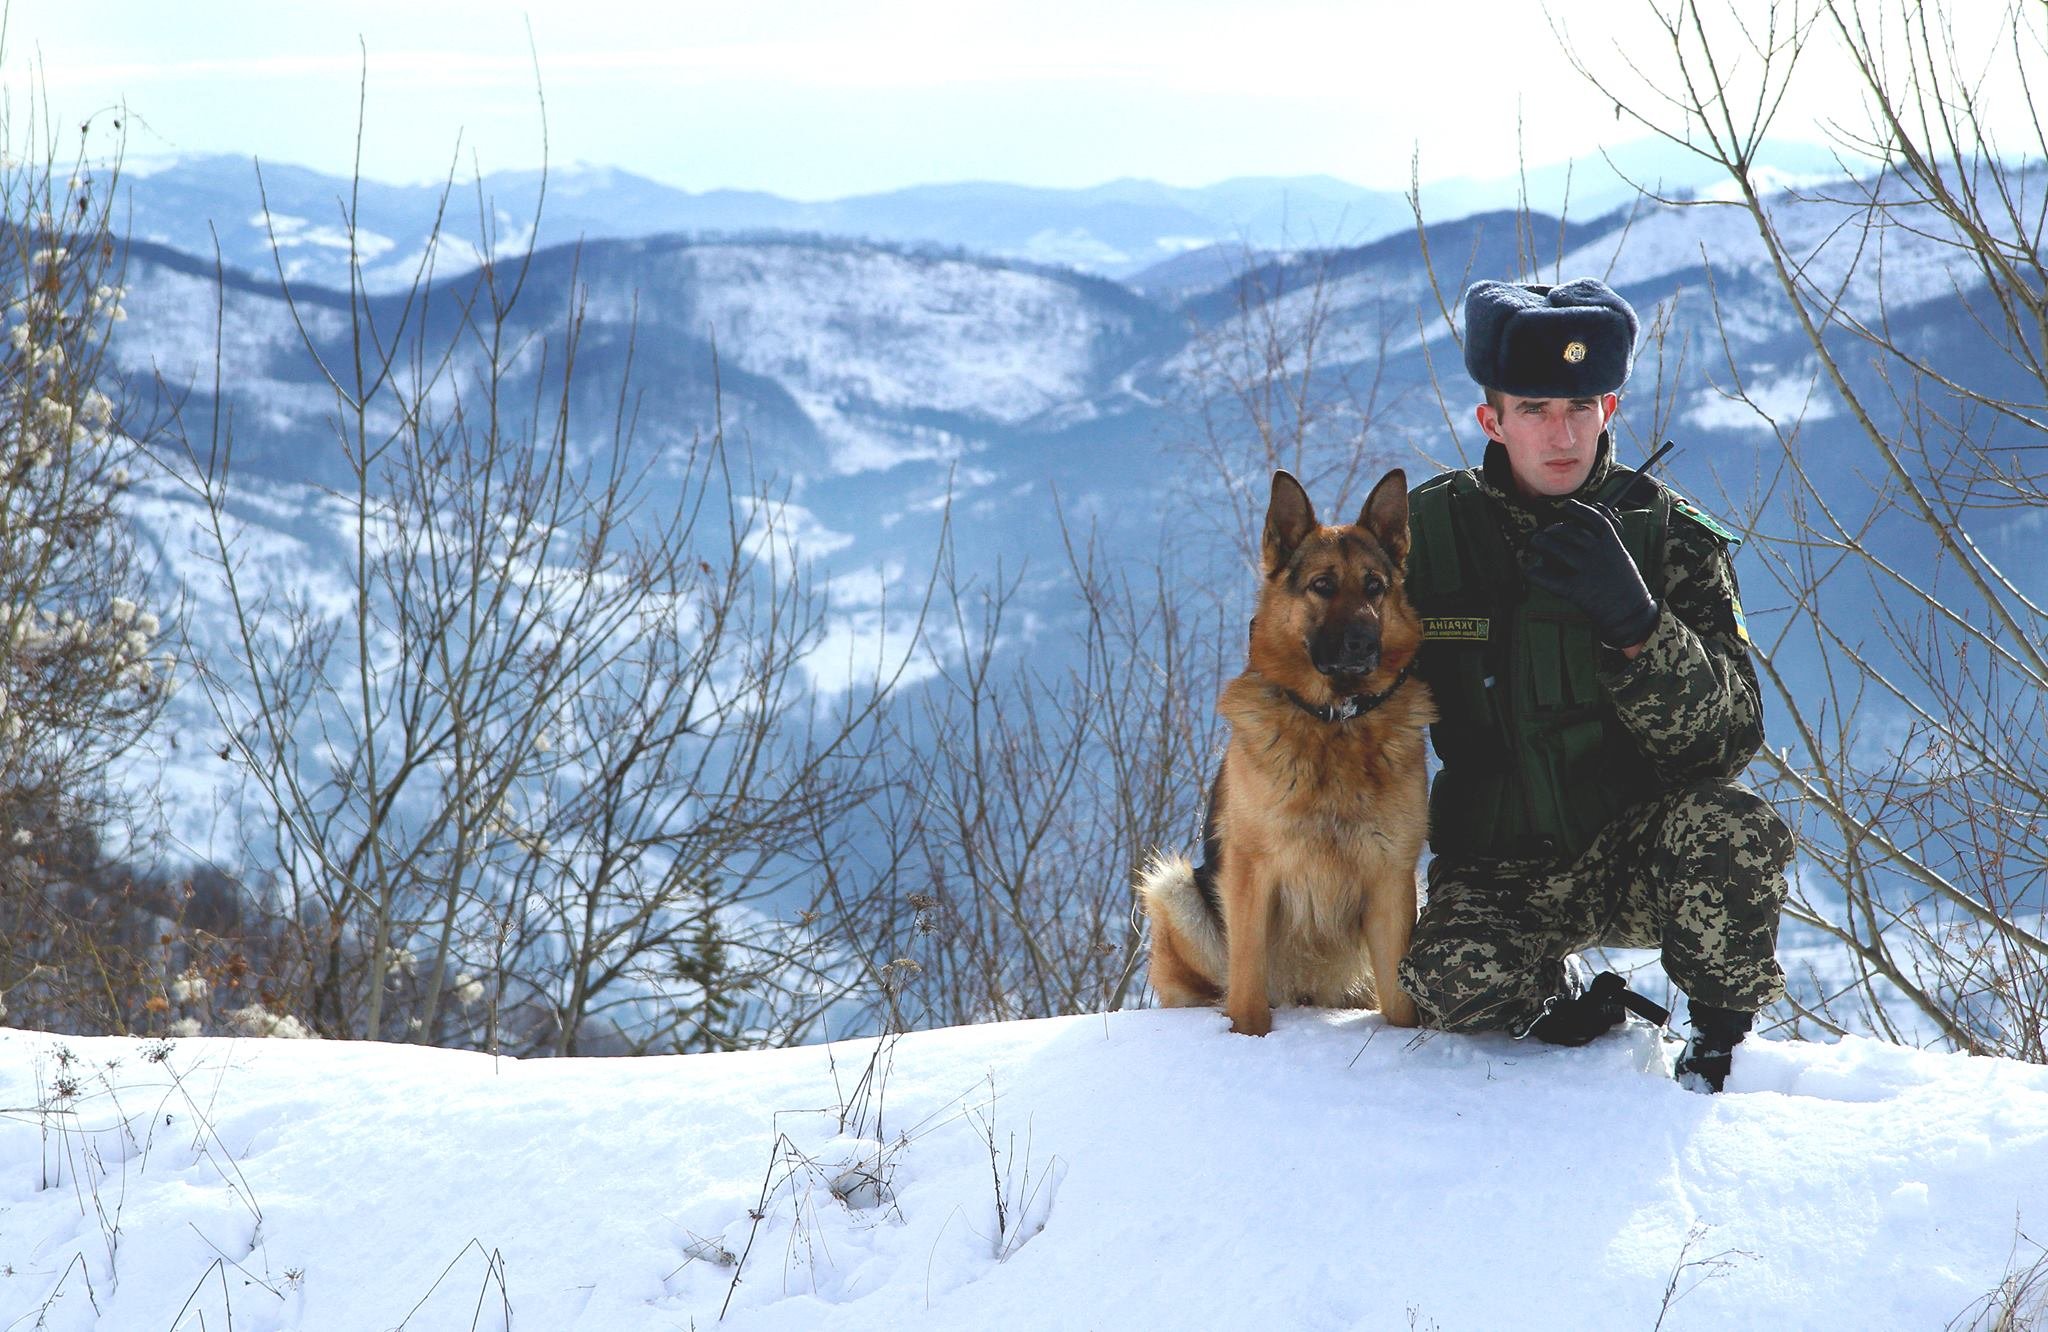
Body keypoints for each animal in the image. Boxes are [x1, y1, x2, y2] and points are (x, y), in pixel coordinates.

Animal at [1138, 471, 1441, 1032]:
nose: (1364, 645)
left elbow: (1400, 1002)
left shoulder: (1391, 880)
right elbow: (1248, 987)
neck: (1335, 722)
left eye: (1374, 587)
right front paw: (1250, 1039)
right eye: (1322, 585)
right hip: (1175, 891)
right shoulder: (1251, 875)